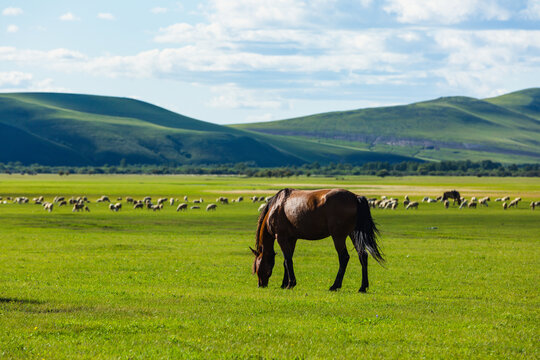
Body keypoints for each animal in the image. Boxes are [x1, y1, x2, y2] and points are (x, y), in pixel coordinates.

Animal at [252, 188, 384, 292]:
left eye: (257, 265)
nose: (260, 284)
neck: (277, 207)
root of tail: (355, 197)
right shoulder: (292, 239)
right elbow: (287, 261)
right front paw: (284, 284)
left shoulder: (281, 237)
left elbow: (288, 260)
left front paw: (290, 284)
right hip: (353, 234)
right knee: (363, 255)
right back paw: (362, 287)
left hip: (338, 236)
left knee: (344, 257)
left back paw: (335, 286)